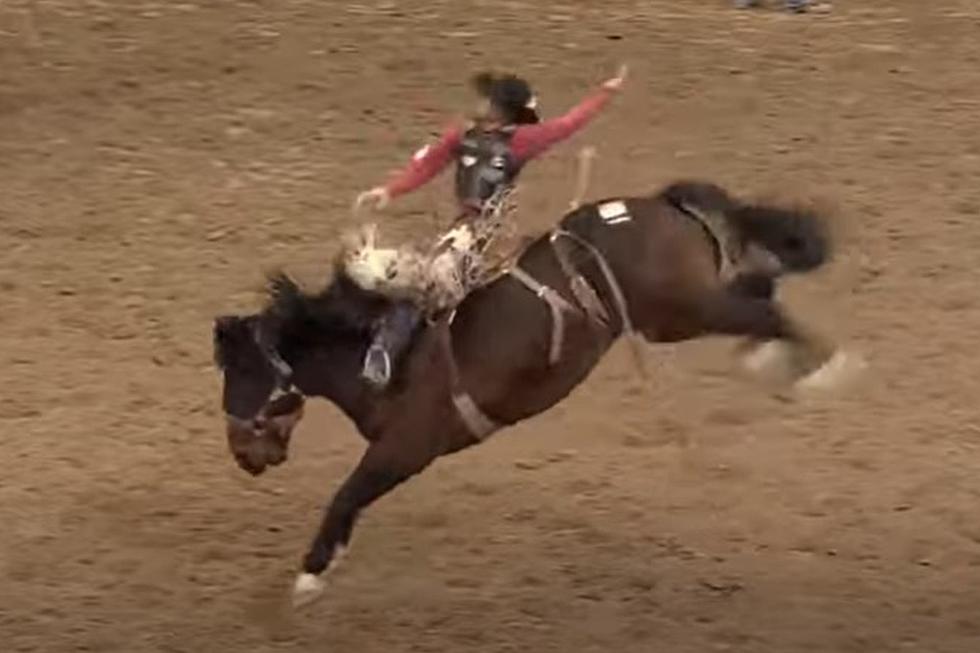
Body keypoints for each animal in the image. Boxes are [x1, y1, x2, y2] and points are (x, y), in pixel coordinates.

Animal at [211, 180, 860, 608]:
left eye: (241, 376)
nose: (242, 456)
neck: (381, 354)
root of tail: (656, 205)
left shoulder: (405, 448)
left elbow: (345, 495)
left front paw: (309, 576)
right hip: (677, 313)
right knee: (758, 287)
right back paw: (773, 356)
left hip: (683, 310)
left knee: (763, 308)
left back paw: (827, 367)